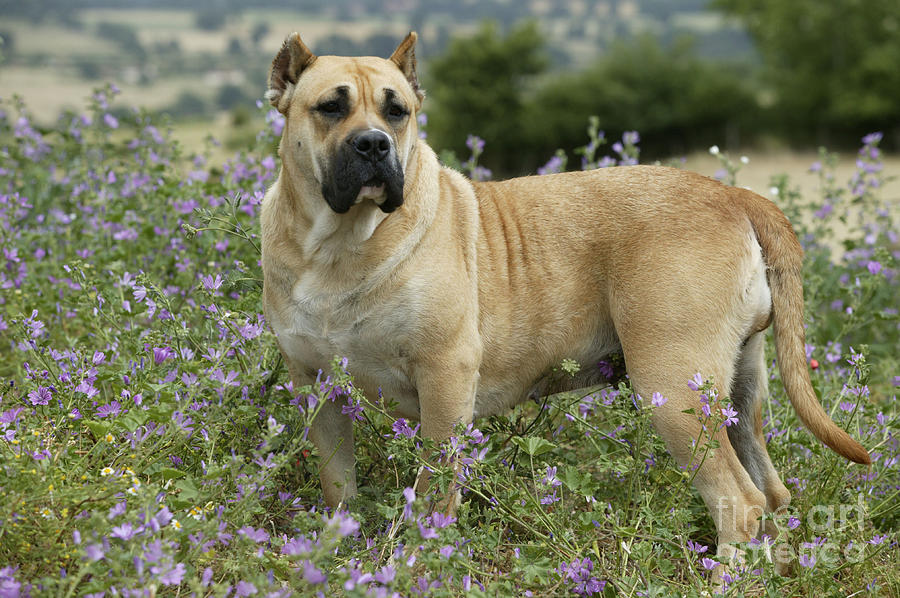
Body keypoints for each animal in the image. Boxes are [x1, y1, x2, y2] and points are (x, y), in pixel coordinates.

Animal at [260, 31, 872, 568]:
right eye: (330, 108)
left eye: (397, 112)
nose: (373, 144)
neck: (339, 246)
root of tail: (733, 193)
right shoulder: (317, 389)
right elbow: (338, 487)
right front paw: (335, 553)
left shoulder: (444, 379)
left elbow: (433, 491)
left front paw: (419, 562)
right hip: (738, 395)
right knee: (770, 495)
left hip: (673, 389)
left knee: (738, 502)